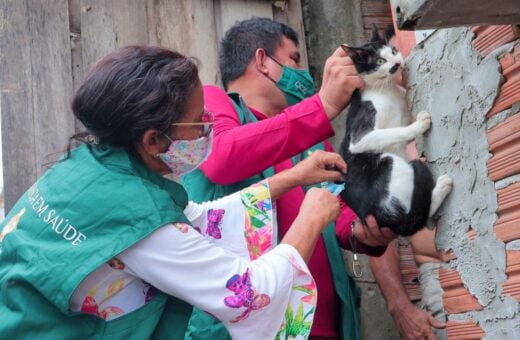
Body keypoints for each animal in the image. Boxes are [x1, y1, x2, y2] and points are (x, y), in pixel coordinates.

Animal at [340, 26, 452, 236]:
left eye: (392, 51)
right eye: (379, 61)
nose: (398, 62)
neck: (386, 89)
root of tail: (389, 222)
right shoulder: (359, 136)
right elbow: (395, 132)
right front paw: (419, 124)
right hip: (388, 163)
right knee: (420, 215)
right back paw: (442, 186)